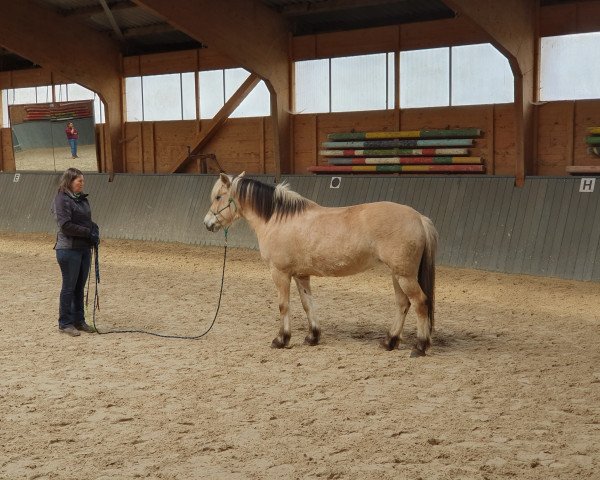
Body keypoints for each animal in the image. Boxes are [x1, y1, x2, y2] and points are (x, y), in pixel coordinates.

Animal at [204, 172, 438, 356]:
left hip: (405, 276)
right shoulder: (301, 275)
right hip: (397, 275)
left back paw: (420, 346)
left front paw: (281, 340)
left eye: (218, 197)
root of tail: (419, 218)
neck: (278, 219)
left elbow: (283, 305)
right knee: (403, 304)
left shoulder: (280, 273)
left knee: (420, 303)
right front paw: (312, 337)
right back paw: (390, 341)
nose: (207, 223)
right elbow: (308, 304)